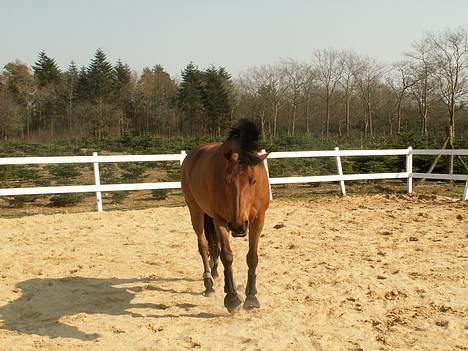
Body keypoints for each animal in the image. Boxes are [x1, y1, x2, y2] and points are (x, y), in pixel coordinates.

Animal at [182, 119, 270, 312]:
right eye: (226, 180)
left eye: (253, 180)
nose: (238, 226)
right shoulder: (220, 220)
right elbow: (227, 256)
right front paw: (232, 299)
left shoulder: (258, 220)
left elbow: (252, 257)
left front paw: (251, 296)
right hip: (196, 211)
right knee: (204, 245)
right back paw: (209, 284)